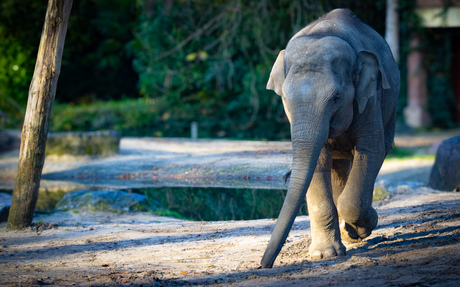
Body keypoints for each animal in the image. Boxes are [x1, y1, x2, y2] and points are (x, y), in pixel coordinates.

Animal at [262, 9, 398, 270]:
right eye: (284, 98)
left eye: (336, 98)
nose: (264, 265)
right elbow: (318, 161)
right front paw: (325, 255)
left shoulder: (370, 99)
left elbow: (371, 150)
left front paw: (363, 227)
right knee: (338, 166)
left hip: (391, 111)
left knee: (377, 149)